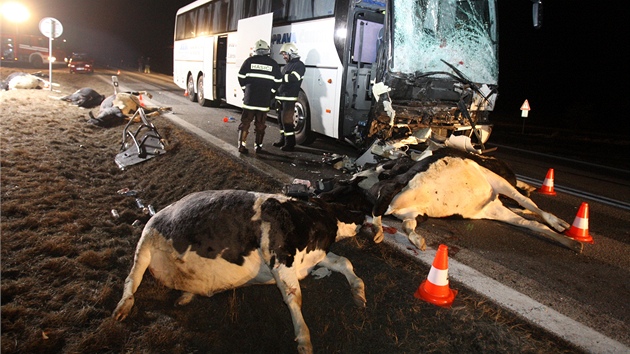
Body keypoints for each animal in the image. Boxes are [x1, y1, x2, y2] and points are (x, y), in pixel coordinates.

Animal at [113, 189, 368, 354]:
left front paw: (359, 294)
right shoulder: (279, 255)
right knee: (131, 279)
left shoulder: (312, 259)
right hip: (144, 244)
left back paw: (186, 295)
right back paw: (122, 308)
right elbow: (294, 296)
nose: (366, 221)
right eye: (353, 205)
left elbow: (344, 262)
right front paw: (304, 339)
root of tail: (155, 214)